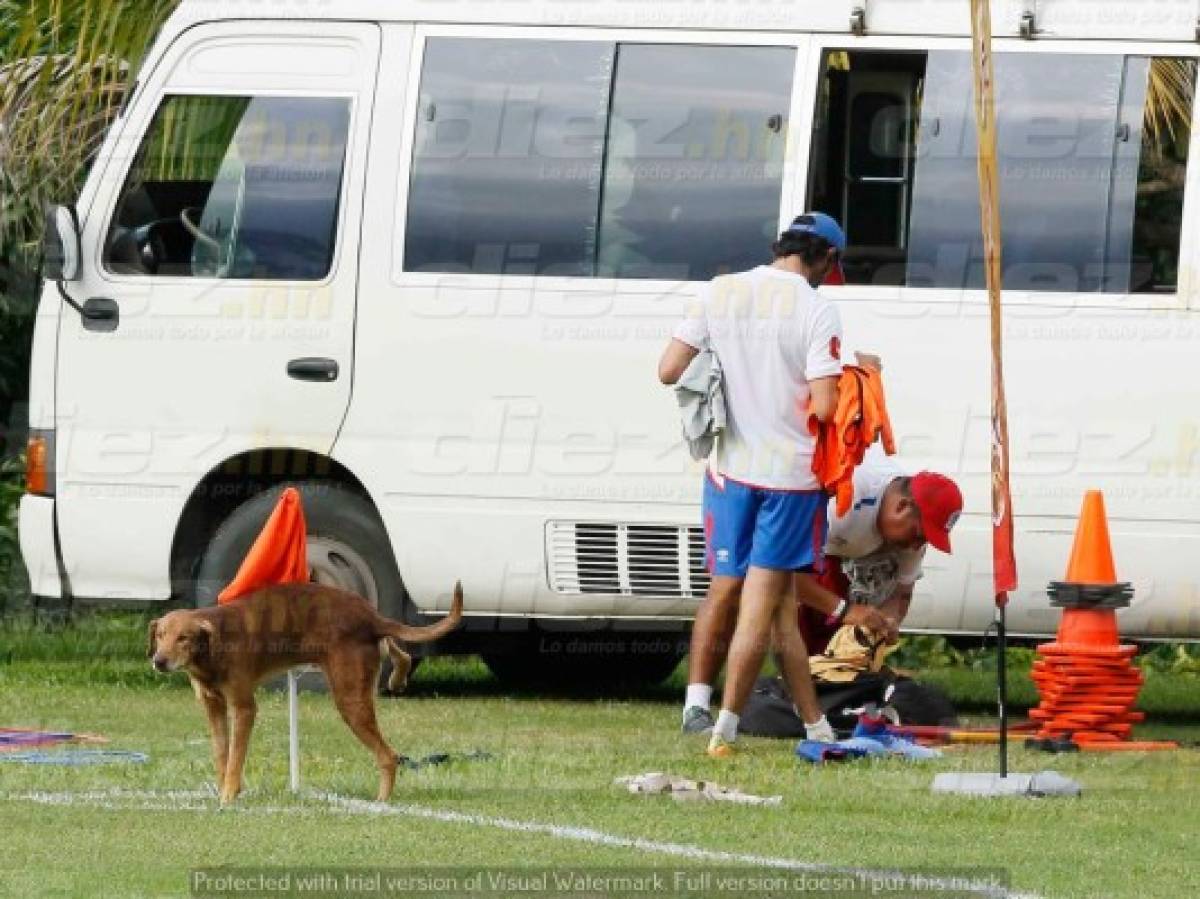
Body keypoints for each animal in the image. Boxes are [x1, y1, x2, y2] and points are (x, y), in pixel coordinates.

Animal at [148, 583, 463, 806]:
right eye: (160, 635)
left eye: (183, 638)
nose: (158, 661)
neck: (211, 650)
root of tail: (371, 617)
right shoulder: (212, 706)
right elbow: (221, 754)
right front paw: (226, 790)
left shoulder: (244, 708)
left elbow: (235, 757)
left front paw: (228, 795)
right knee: (401, 653)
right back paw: (397, 678)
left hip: (350, 699)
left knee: (388, 756)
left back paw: (381, 801)